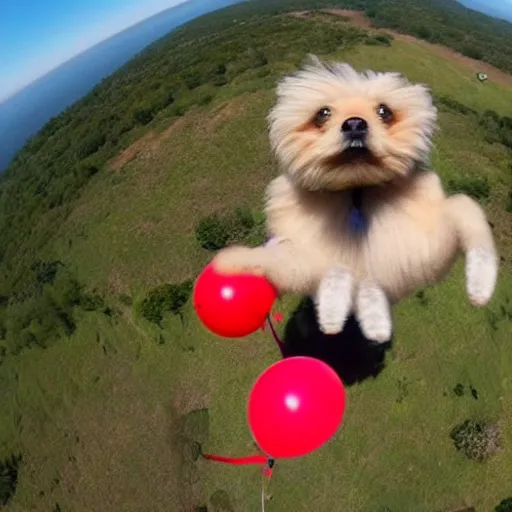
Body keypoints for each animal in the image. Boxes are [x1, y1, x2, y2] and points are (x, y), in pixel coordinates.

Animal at [214, 56, 498, 342]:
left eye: (384, 111)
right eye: (322, 113)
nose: (354, 124)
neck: (356, 193)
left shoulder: (427, 251)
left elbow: (464, 208)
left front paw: (481, 287)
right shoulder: (305, 264)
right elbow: (283, 262)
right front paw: (230, 261)